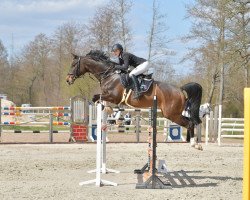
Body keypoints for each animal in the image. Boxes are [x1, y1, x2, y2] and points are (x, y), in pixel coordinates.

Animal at [66, 50, 203, 147]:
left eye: (74, 64)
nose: (68, 79)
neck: (109, 75)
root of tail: (180, 89)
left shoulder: (114, 97)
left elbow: (97, 98)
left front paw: (109, 110)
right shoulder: (108, 96)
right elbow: (96, 98)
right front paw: (109, 110)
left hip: (171, 114)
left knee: (190, 123)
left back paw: (195, 144)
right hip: (172, 113)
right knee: (190, 122)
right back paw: (193, 142)